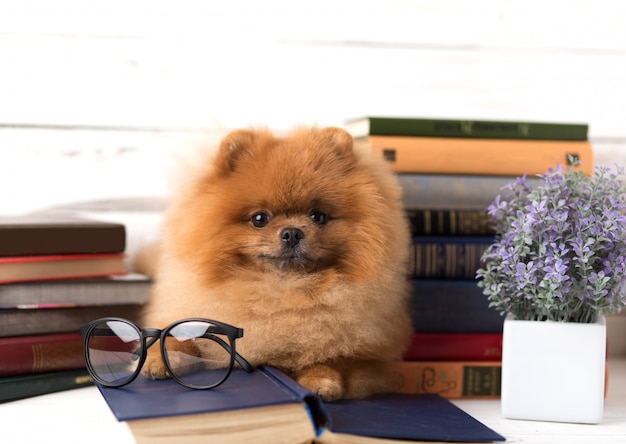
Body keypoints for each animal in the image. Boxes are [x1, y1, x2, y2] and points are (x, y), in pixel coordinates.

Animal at [140, 126, 410, 400]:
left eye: (318, 216)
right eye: (259, 218)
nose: (292, 232)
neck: (279, 291)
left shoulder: (364, 356)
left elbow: (332, 359)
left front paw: (322, 381)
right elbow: (175, 337)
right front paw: (160, 360)